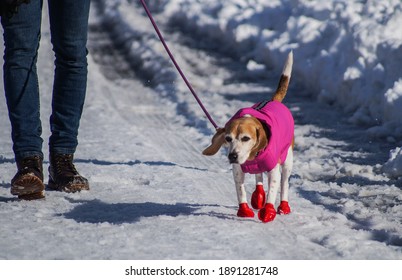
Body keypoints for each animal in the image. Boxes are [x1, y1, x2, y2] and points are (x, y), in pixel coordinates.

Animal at [203, 51, 294, 223]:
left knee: (284, 183)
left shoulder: (274, 171)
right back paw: (258, 196)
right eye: (228, 139)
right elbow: (240, 191)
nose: (232, 156)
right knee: (258, 177)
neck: (252, 157)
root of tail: (273, 100)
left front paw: (268, 211)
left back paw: (283, 207)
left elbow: (273, 190)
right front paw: (244, 210)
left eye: (245, 138)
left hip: (287, 161)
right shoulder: (238, 170)